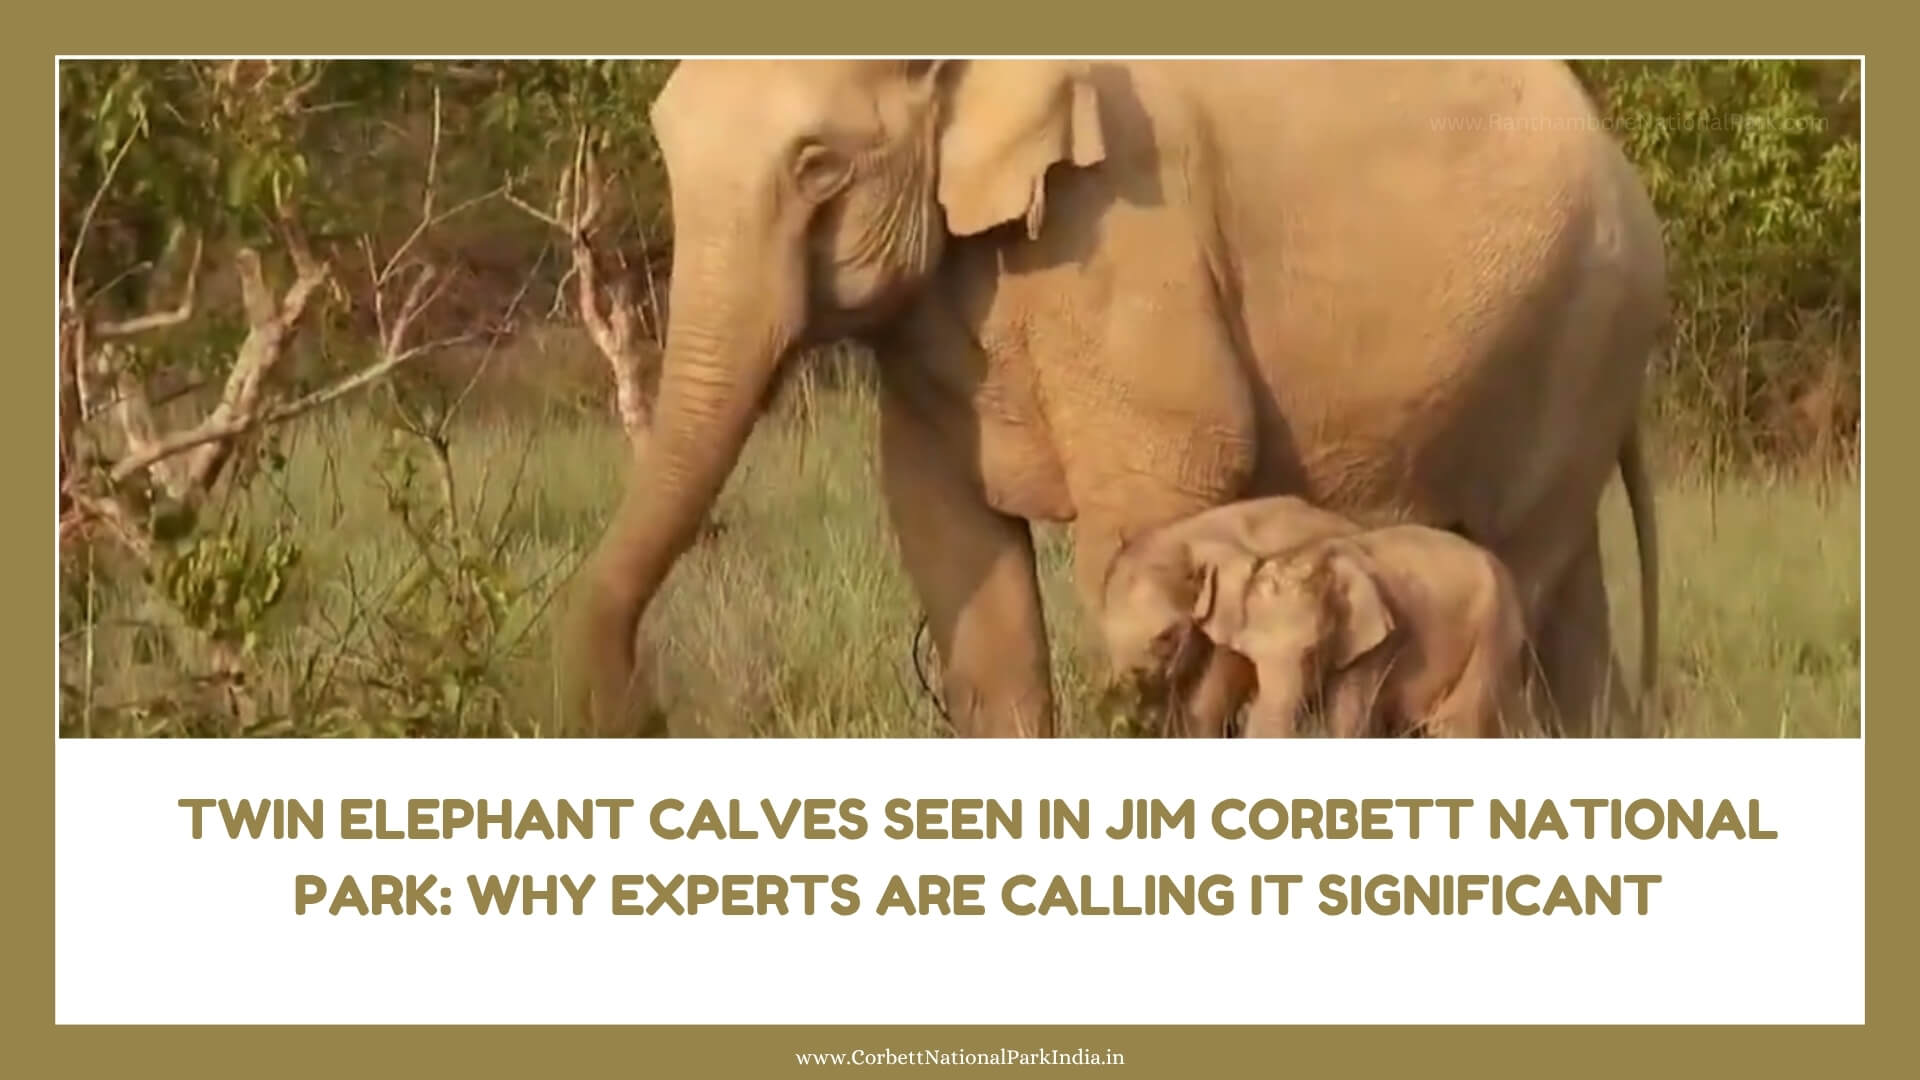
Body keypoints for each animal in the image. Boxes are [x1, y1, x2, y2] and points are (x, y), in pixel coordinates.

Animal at [1179, 518, 1539, 739]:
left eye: (1313, 653)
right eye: (1253, 658)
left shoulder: (1375, 647)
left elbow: (1347, 721)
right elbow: (1206, 704)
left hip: (1493, 634)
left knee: (1456, 725)